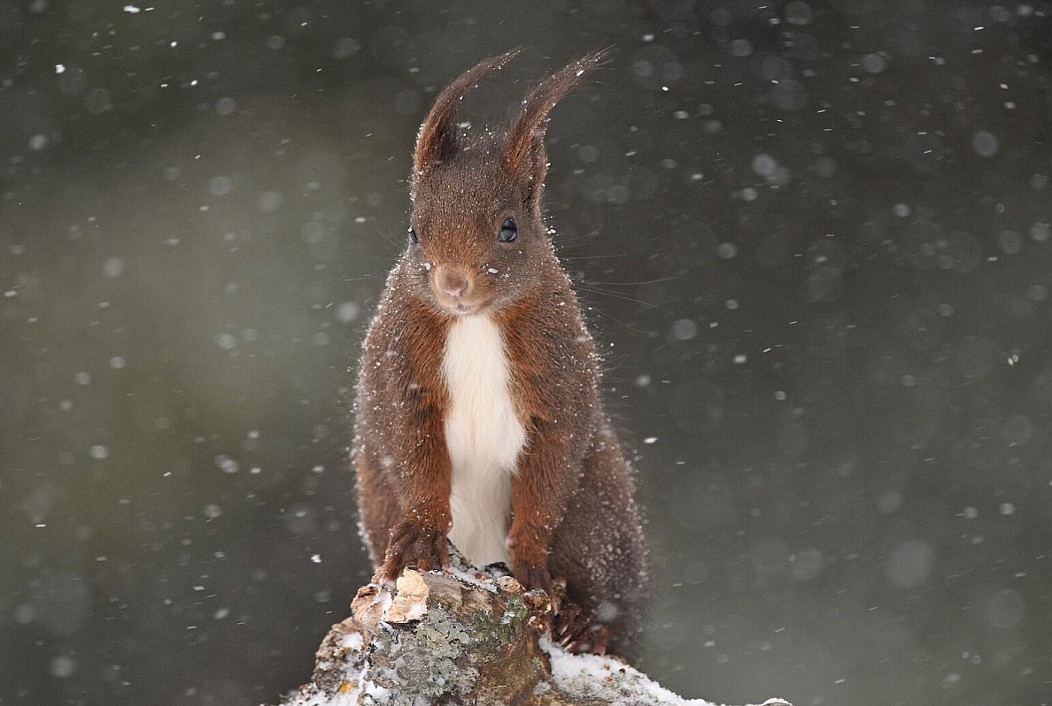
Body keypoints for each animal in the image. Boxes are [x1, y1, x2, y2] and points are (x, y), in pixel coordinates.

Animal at [353, 48, 643, 656]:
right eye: (413, 232)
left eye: (509, 228)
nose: (452, 284)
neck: (476, 325)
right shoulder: (397, 370)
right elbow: (412, 453)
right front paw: (419, 538)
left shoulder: (561, 374)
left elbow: (550, 466)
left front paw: (529, 558)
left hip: (598, 517)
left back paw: (586, 624)